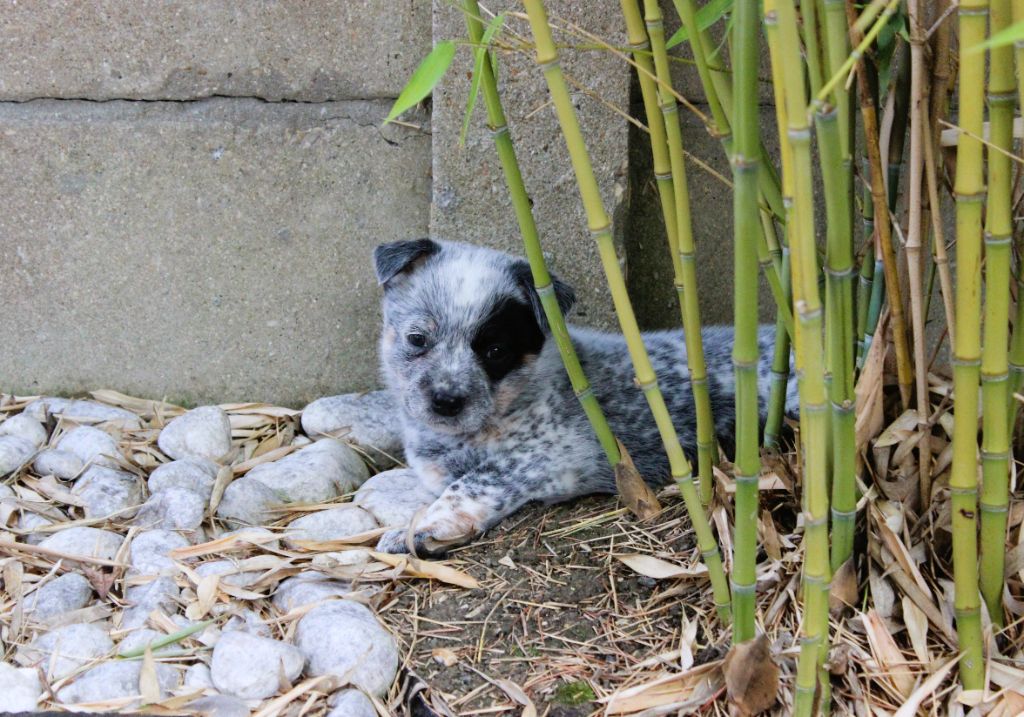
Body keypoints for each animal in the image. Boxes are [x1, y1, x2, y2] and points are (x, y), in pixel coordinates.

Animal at [372, 238, 797, 556]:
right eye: (417, 339)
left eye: (495, 352)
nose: (446, 400)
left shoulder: (549, 454)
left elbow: (475, 482)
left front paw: (424, 528)